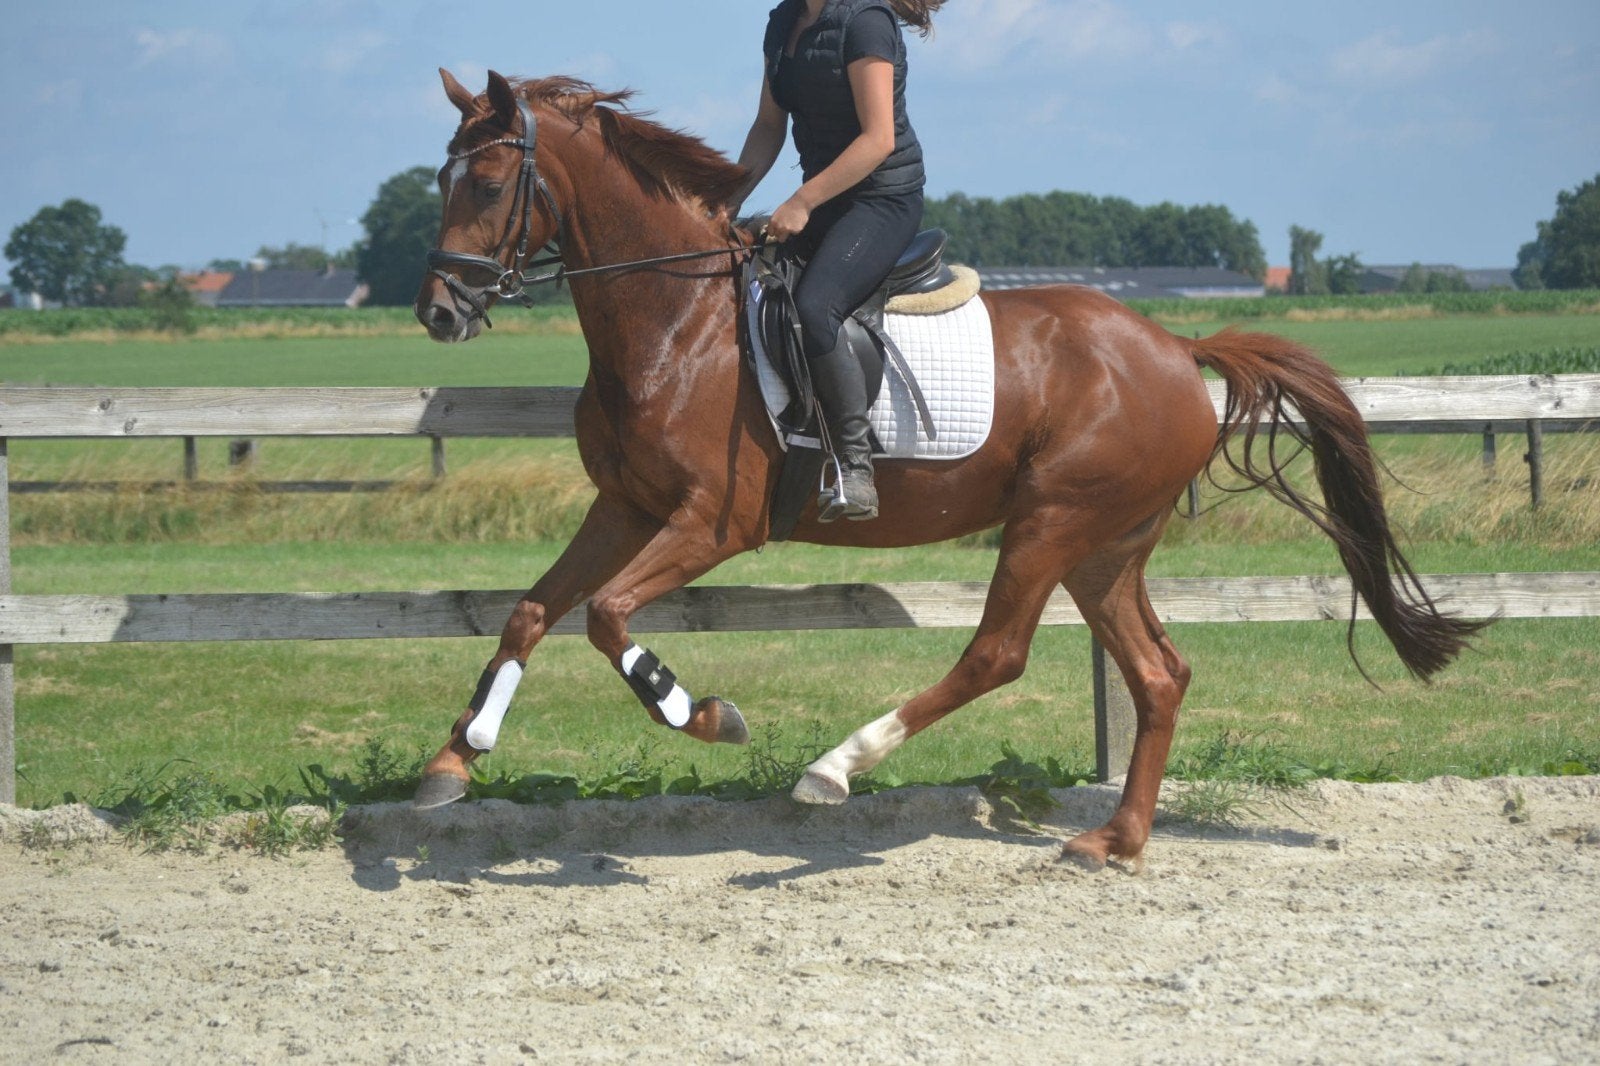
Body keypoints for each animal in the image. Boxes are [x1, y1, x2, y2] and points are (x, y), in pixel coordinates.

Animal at [411, 70, 1484, 868]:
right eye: (440, 183)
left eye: (491, 183)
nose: (437, 311)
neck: (676, 321)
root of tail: (1178, 347)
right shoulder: (626, 507)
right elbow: (533, 611)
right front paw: (454, 761)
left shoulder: (714, 521)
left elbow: (606, 616)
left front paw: (706, 714)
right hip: (1106, 545)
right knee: (1158, 672)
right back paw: (1116, 840)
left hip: (1051, 519)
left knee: (996, 654)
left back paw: (836, 767)